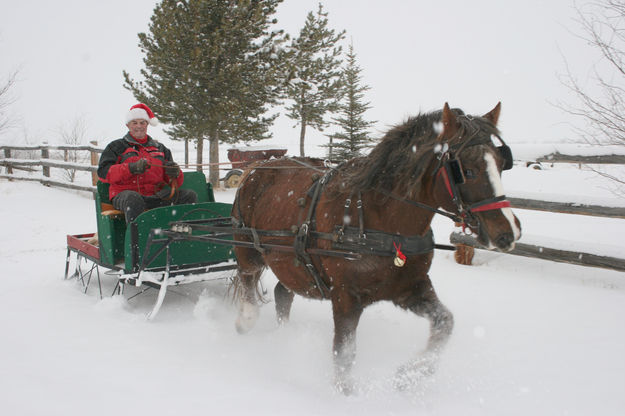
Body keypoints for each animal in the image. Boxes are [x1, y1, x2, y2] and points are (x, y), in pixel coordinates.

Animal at [232, 102, 520, 392]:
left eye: (502, 164)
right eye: (466, 170)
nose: (508, 232)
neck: (383, 223)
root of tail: (258, 167)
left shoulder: (410, 288)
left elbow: (445, 323)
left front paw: (411, 373)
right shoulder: (345, 296)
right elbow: (344, 353)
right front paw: (346, 393)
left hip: (292, 265)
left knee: (283, 293)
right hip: (248, 248)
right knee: (248, 278)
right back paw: (246, 320)